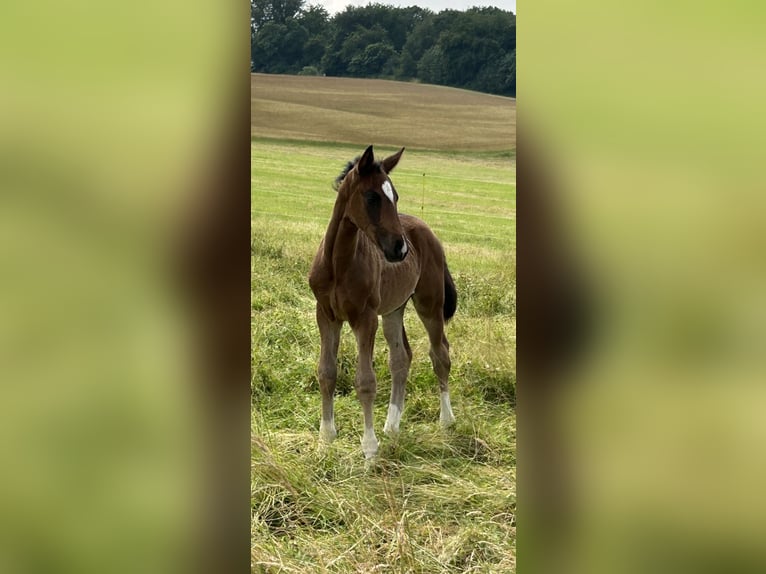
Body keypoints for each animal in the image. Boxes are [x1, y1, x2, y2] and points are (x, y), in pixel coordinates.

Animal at [308, 146, 460, 462]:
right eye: (372, 197)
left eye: (396, 196)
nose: (400, 249)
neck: (339, 264)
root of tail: (427, 231)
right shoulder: (326, 315)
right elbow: (327, 372)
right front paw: (325, 440)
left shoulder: (365, 318)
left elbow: (365, 382)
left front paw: (369, 449)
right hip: (393, 310)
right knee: (401, 358)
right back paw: (392, 426)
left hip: (429, 304)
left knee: (440, 353)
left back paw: (446, 419)